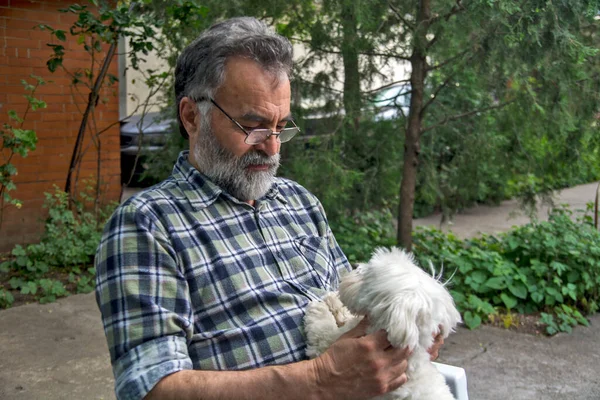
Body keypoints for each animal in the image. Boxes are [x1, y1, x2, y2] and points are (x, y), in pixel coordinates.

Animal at [308, 247, 462, 400]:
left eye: (369, 273)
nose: (355, 266)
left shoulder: (331, 343)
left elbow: (323, 332)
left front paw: (319, 310)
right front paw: (334, 300)